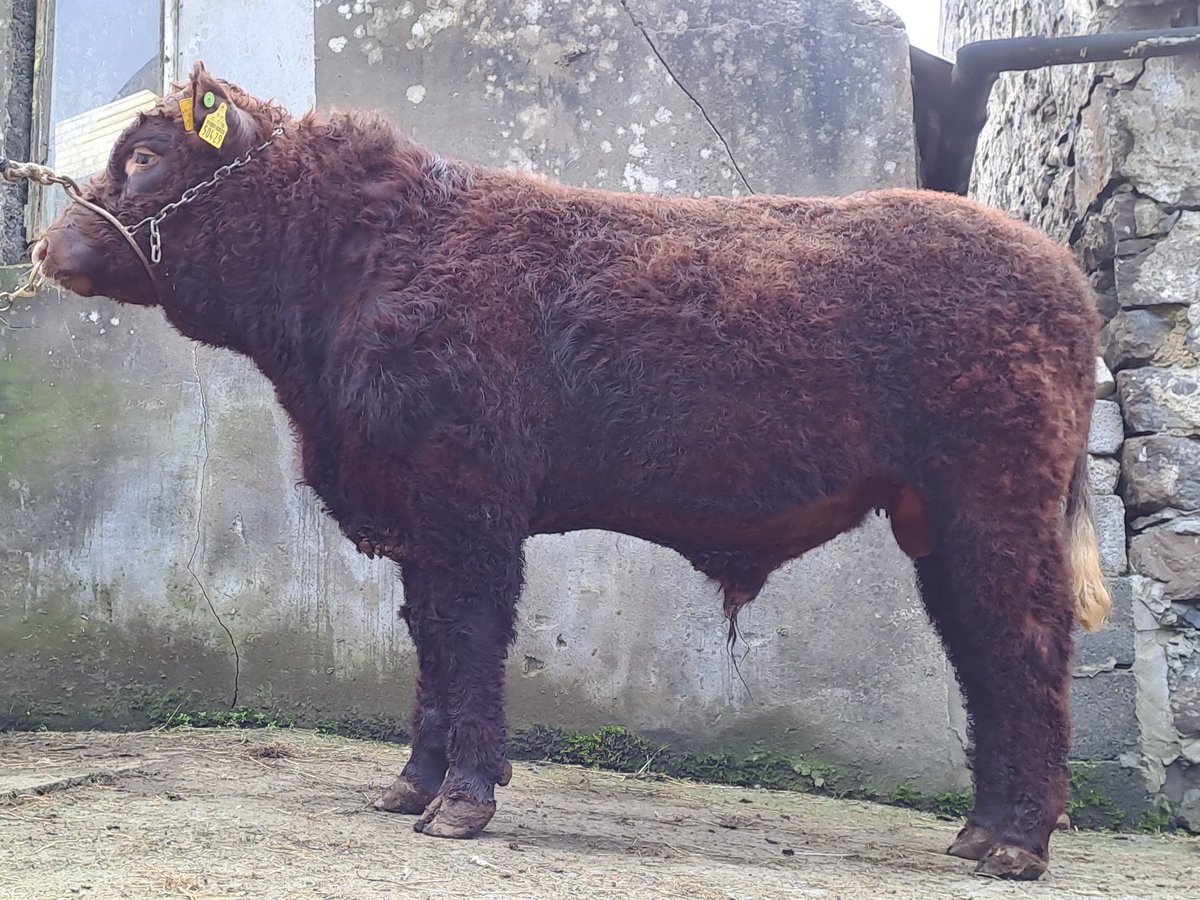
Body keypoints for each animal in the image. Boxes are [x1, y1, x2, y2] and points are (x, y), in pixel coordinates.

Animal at [32, 61, 1110, 881]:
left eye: (145, 156)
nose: (47, 245)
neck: (372, 260)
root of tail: (1057, 266)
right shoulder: (418, 521)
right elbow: (428, 644)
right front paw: (410, 785)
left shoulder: (468, 503)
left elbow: (468, 640)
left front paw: (462, 802)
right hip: (941, 520)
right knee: (982, 652)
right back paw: (979, 831)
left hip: (996, 503)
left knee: (1025, 648)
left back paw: (1018, 844)